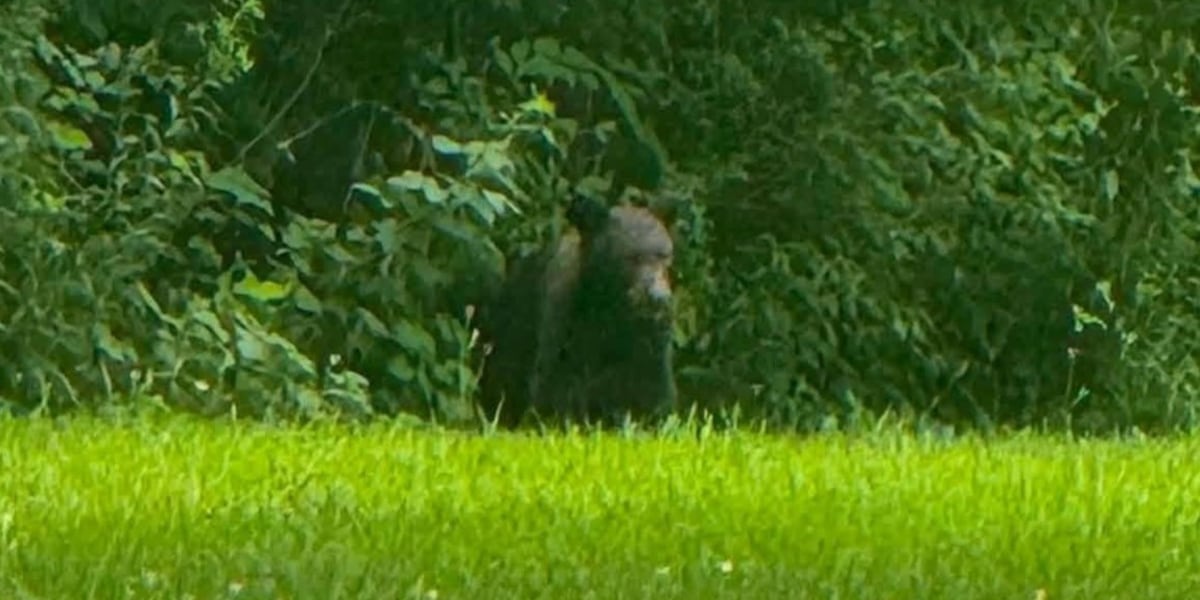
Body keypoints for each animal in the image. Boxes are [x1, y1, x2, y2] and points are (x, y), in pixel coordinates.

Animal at [477, 192, 678, 428]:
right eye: (632, 257)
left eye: (664, 255)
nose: (658, 297)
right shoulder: (565, 318)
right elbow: (557, 382)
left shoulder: (649, 333)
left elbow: (653, 383)